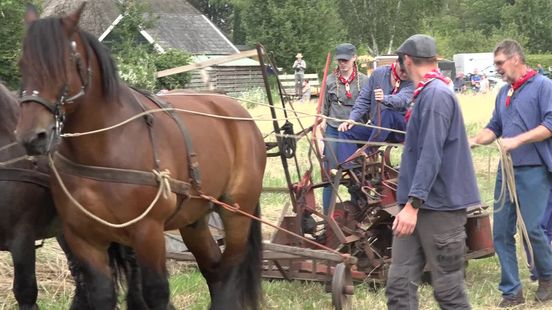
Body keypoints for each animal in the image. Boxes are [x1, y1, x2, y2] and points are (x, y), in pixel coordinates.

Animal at [16, 3, 266, 310]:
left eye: (65, 62)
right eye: (23, 63)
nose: (32, 136)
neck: (105, 149)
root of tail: (238, 111)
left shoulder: (148, 232)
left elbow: (156, 293)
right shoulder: (83, 238)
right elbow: (101, 295)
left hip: (237, 213)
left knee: (230, 270)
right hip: (195, 220)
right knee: (214, 270)